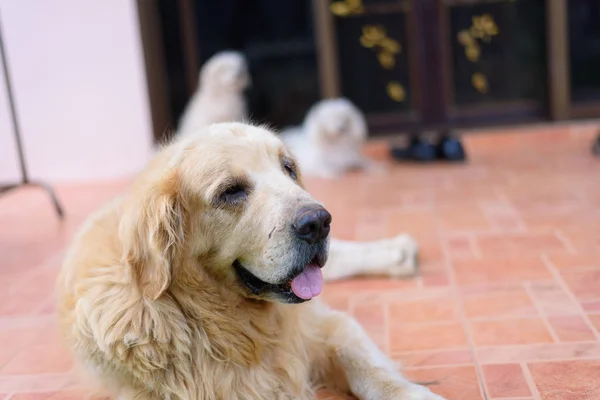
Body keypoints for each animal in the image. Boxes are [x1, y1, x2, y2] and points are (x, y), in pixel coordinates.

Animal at [57, 122, 440, 400]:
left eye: (288, 169)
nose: (318, 222)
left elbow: (367, 364)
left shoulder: (325, 325)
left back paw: (398, 251)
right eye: (231, 191)